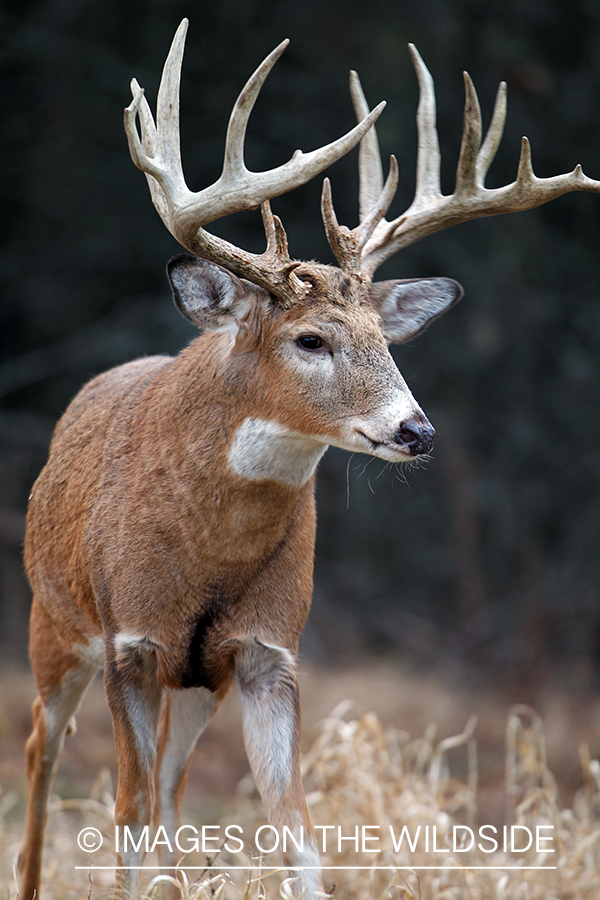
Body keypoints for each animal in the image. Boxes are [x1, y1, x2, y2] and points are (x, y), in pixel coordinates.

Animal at [18, 19, 600, 900]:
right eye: (310, 340)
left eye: (385, 339)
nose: (415, 431)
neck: (206, 554)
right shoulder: (131, 646)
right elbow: (124, 819)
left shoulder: (267, 652)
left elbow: (294, 831)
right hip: (52, 625)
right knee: (44, 755)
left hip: (198, 682)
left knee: (174, 790)